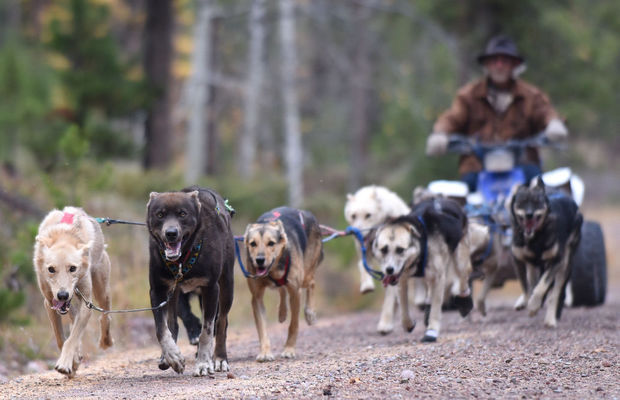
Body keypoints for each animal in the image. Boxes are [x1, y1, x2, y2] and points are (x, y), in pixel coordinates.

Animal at [146, 186, 235, 376]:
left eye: (182, 214)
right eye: (160, 214)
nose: (171, 233)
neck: (182, 260)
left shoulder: (211, 288)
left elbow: (207, 331)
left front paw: (203, 363)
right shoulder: (158, 290)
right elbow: (161, 328)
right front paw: (172, 355)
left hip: (226, 286)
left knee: (222, 322)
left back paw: (219, 358)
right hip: (174, 293)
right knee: (172, 322)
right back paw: (168, 356)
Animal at [242, 208, 322, 360]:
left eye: (271, 243)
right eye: (253, 243)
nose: (259, 260)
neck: (272, 271)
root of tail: (306, 213)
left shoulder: (296, 292)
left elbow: (294, 325)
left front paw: (289, 349)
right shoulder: (256, 297)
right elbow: (262, 329)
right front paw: (265, 352)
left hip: (306, 275)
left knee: (312, 282)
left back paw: (310, 313)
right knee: (282, 289)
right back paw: (282, 312)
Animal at [508, 178, 580, 328]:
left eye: (537, 202)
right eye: (522, 202)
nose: (529, 214)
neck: (535, 238)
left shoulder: (555, 261)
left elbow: (541, 287)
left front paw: (534, 305)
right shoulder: (518, 260)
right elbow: (526, 287)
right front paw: (528, 302)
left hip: (565, 264)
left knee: (555, 293)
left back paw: (550, 319)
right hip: (532, 266)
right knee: (532, 282)